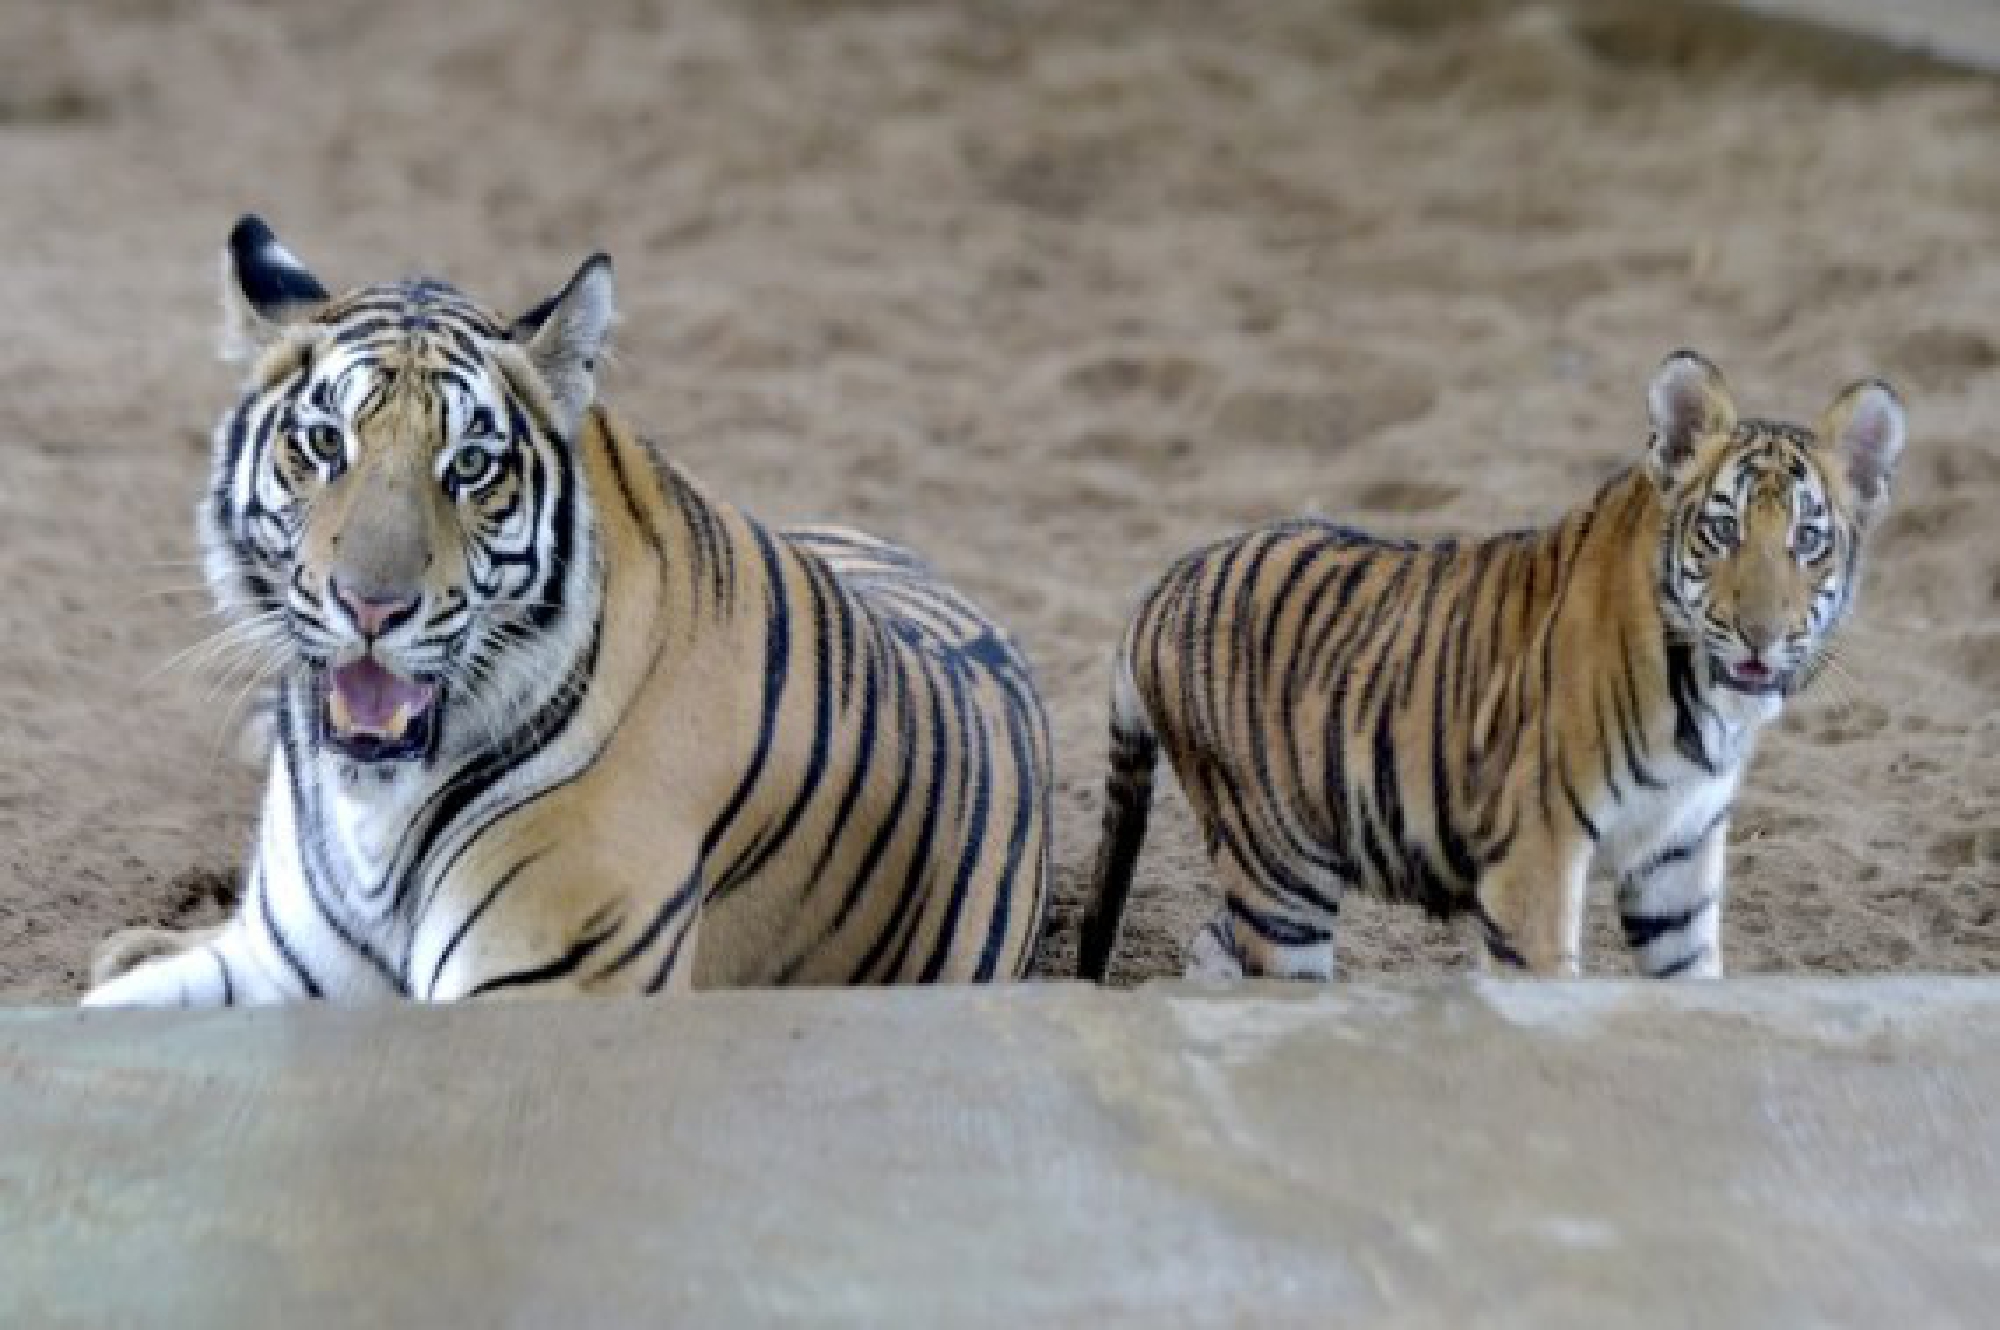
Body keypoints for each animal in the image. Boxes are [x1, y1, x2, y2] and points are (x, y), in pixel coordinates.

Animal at [83, 216, 1051, 1006]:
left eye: (471, 466)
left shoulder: (544, 985)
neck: (373, 812)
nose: (371, 606)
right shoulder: (280, 968)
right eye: (325, 444)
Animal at [1076, 350, 1905, 983]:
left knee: (1213, 943)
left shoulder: (1679, 862)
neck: (1709, 705)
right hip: (1279, 872)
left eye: (1808, 539)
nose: (1761, 637)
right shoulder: (1536, 849)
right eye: (1724, 530)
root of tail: (1164, 584)